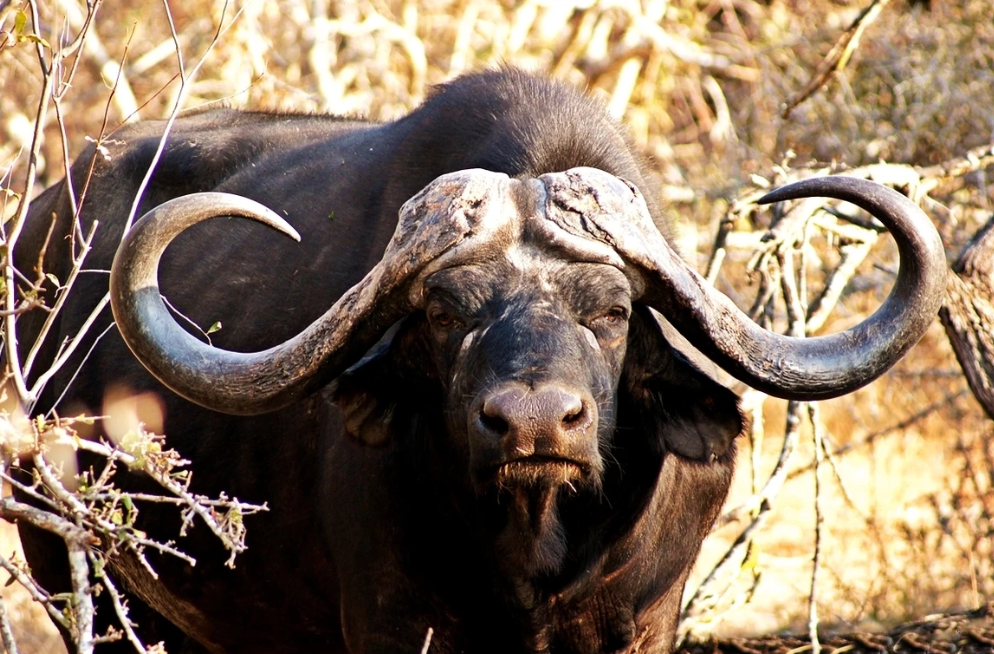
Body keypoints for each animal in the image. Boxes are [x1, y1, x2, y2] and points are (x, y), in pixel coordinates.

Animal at [13, 69, 945, 653]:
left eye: (611, 312)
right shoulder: (392, 624)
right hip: (77, 577)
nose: (535, 424)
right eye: (443, 312)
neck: (533, 549)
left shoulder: (644, 623)